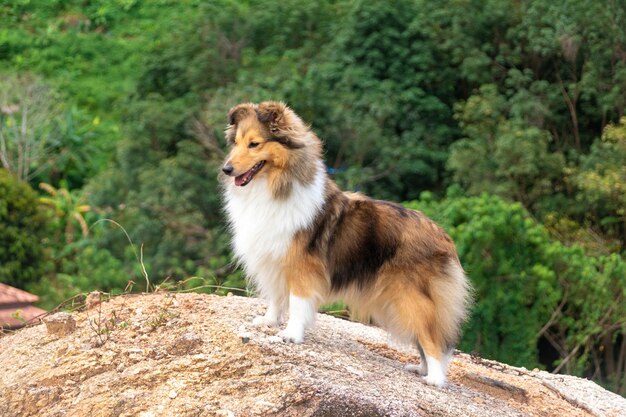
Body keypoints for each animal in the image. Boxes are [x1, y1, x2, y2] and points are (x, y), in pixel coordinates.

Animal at [219, 101, 468, 386]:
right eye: (236, 142)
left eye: (254, 144)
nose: (226, 169)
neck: (274, 186)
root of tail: (445, 237)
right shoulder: (274, 262)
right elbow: (276, 297)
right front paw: (268, 322)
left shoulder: (301, 268)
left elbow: (297, 303)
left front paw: (291, 335)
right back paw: (420, 369)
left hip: (413, 298)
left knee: (434, 340)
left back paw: (434, 379)